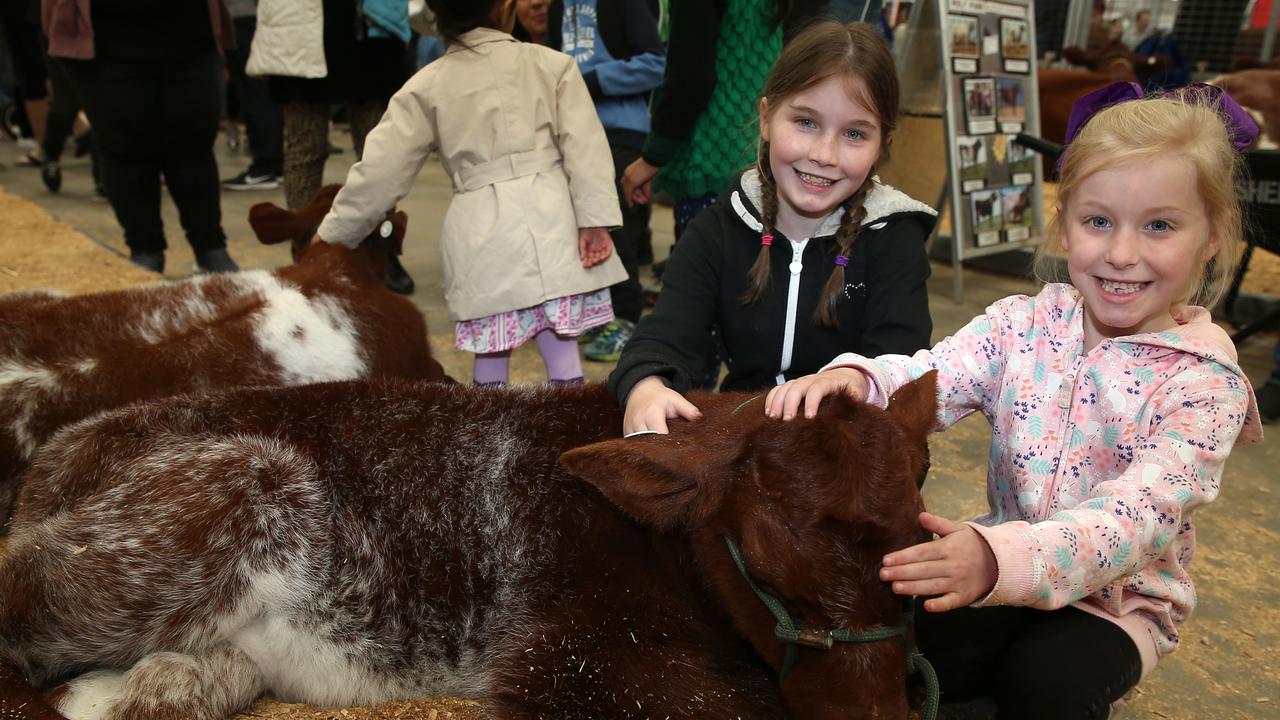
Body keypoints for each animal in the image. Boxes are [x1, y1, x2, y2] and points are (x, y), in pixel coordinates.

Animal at [0, 376, 942, 717]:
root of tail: (59, 456)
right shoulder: (579, 658)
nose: (882, 718)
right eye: (765, 561)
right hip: (220, 496)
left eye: (916, 549)